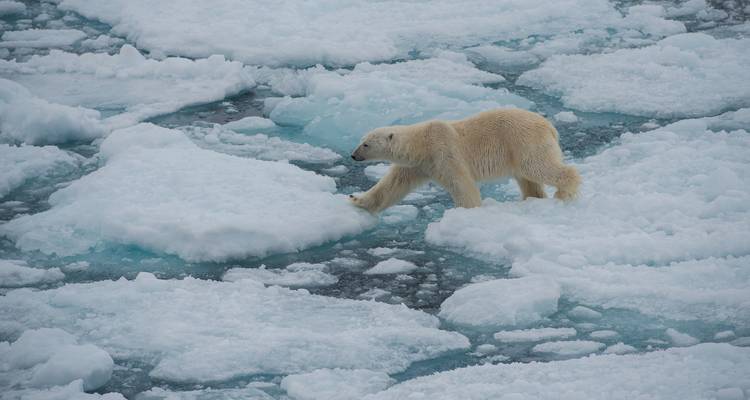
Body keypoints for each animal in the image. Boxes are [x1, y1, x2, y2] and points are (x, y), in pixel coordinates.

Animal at [349, 108, 580, 213]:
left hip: (523, 141)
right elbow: (391, 186)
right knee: (528, 178)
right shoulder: (417, 165)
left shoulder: (443, 151)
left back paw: (563, 192)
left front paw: (467, 211)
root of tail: (549, 126)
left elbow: (461, 183)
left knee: (538, 167)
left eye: (366, 144)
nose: (353, 155)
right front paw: (356, 199)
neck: (421, 143)